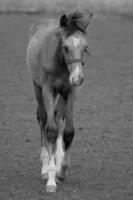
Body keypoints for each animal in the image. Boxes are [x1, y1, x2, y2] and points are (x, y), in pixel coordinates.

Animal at [26, 10, 92, 192]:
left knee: (57, 117)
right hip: (37, 87)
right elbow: (51, 131)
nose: (78, 78)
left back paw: (57, 159)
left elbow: (68, 132)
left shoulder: (69, 92)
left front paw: (61, 171)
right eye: (66, 47)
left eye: (85, 48)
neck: (61, 64)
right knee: (43, 118)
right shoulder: (48, 90)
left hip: (61, 95)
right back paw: (45, 168)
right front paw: (51, 180)